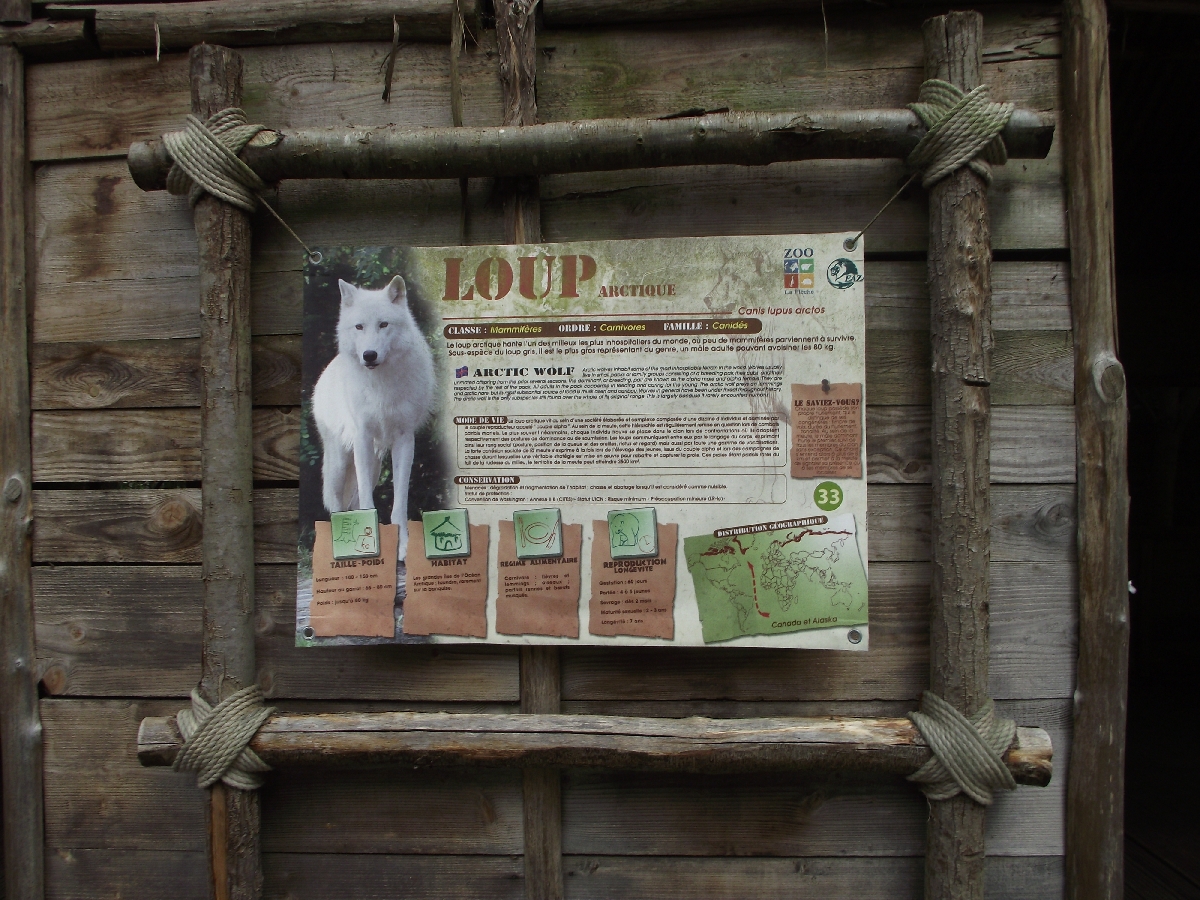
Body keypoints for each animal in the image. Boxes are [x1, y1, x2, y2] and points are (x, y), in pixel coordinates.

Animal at [312, 275, 435, 559]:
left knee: (354, 502)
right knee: (337, 505)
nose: (369, 355)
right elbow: (368, 503)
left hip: (376, 464)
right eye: (359, 327)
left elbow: (399, 504)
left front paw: (402, 548)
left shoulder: (404, 440)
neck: (381, 383)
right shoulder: (362, 438)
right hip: (340, 463)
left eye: (383, 324)